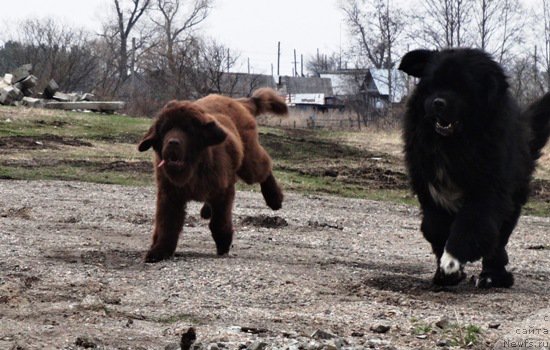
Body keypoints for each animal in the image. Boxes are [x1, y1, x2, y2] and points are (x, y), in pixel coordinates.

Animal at [138, 88, 288, 262]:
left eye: (188, 130)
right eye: (165, 130)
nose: (173, 142)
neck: (194, 168)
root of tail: (238, 101)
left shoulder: (223, 191)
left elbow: (219, 221)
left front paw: (223, 243)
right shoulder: (169, 194)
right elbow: (167, 224)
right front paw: (159, 251)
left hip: (248, 162)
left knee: (263, 167)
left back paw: (274, 198)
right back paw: (207, 210)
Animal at [398, 47, 550, 288]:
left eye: (462, 87)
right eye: (432, 84)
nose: (437, 102)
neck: (454, 144)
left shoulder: (488, 189)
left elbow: (471, 225)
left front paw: (451, 263)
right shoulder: (428, 185)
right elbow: (434, 227)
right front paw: (445, 272)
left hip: (513, 197)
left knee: (498, 241)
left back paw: (492, 277)